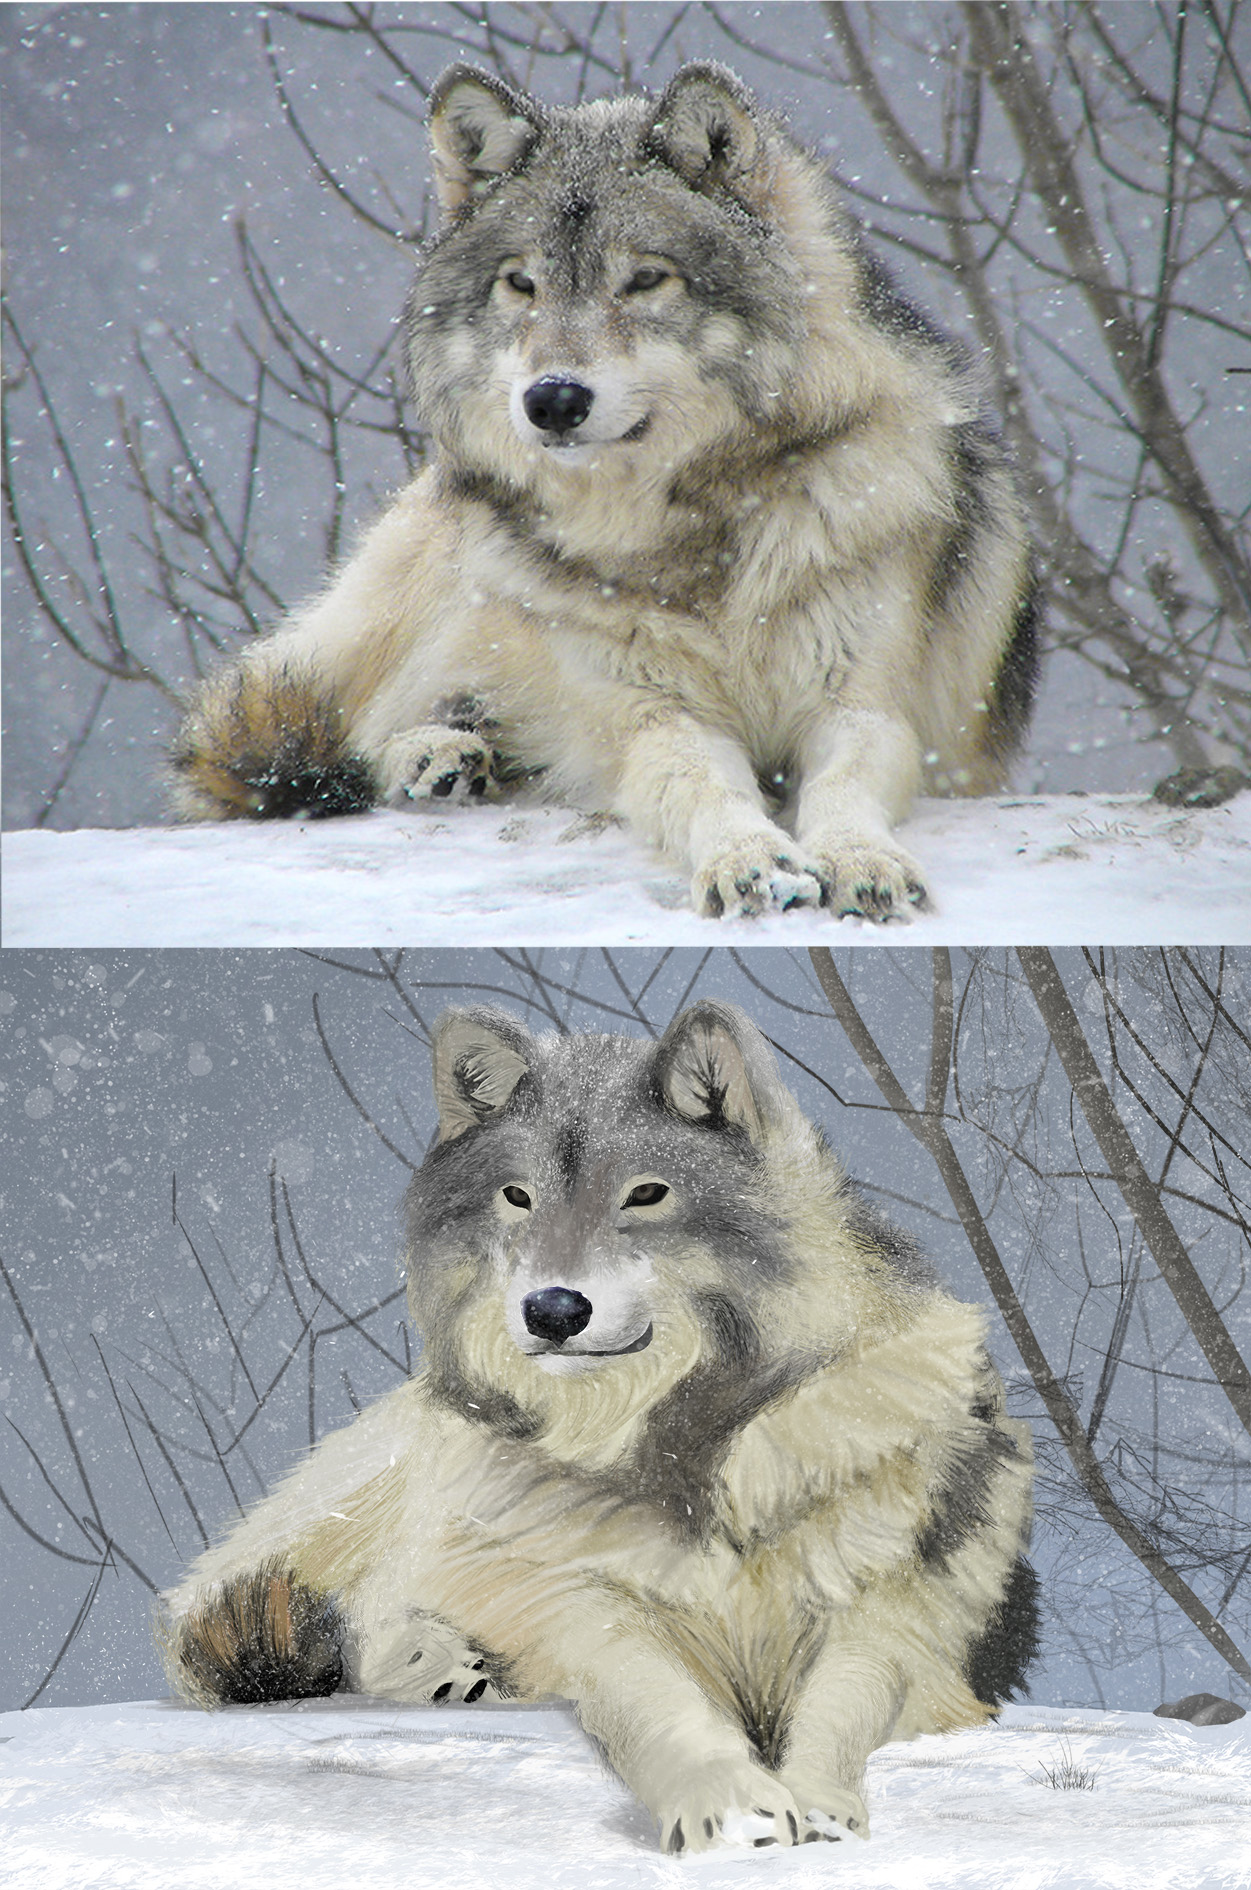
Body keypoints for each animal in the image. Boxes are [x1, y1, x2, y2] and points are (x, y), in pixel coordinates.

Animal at [160, 1000, 1039, 1854]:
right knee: (303, 1609)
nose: (551, 1310)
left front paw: (818, 1808)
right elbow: (658, 1700)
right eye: (517, 1198)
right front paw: (730, 1810)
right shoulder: (584, 1606)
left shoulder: (892, 1619)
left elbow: (842, 1703)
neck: (681, 1443)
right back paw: (442, 1663)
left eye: (645, 1195)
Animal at [170, 60, 1038, 921]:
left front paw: (860, 859)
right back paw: (434, 755)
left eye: (645, 279)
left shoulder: (864, 706)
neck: (692, 530)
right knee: (315, 738)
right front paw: (750, 861)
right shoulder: (646, 714)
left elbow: (844, 785)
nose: (552, 399)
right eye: (520, 284)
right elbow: (698, 781)